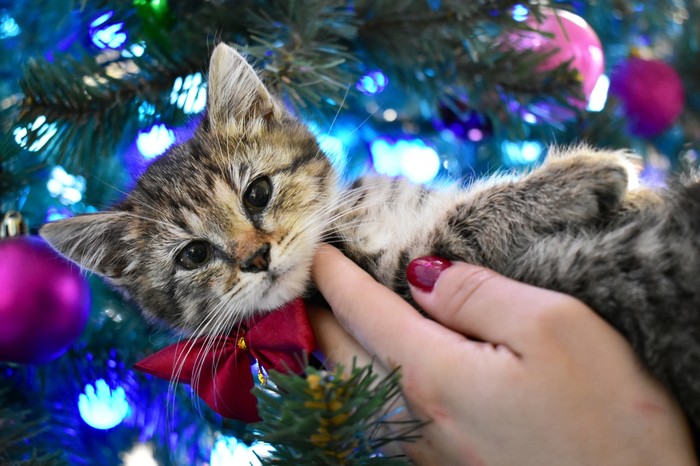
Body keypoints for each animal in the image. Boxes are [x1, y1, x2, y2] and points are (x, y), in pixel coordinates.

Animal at [39, 41, 700, 438]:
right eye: (193, 254)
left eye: (257, 193)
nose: (257, 257)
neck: (357, 219)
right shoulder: (404, 273)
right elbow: (459, 225)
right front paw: (583, 174)